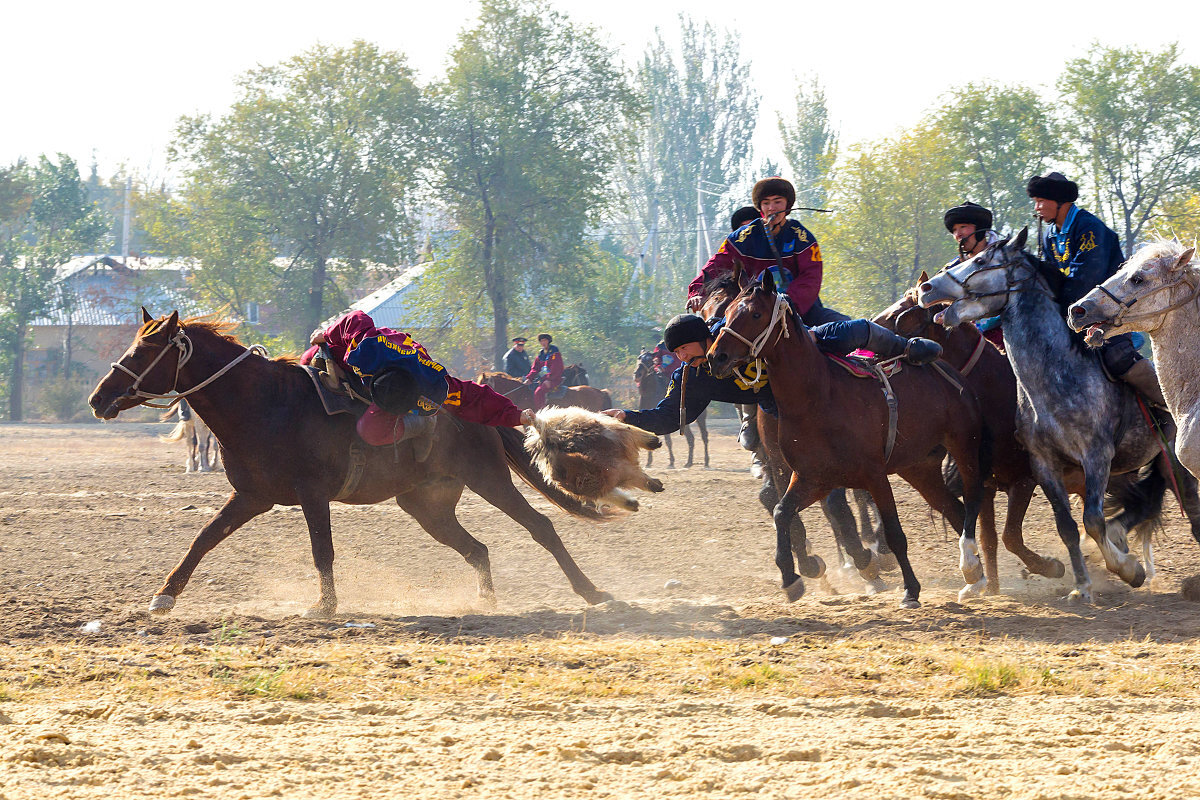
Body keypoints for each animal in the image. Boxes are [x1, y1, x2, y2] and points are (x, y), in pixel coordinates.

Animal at [705, 268, 988, 606]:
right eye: (726, 314)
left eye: (755, 314)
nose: (716, 357)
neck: (818, 398)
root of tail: (951, 374)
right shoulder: (812, 478)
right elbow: (781, 512)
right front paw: (791, 578)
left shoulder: (874, 476)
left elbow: (894, 533)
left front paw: (910, 589)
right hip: (919, 467)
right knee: (954, 509)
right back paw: (974, 577)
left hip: (965, 446)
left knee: (971, 502)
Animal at [878, 278, 1065, 592]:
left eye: (899, 315)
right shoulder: (985, 482)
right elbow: (990, 539)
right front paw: (991, 587)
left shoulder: (1025, 478)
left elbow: (1010, 536)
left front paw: (1051, 566)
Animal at [916, 227, 1200, 604]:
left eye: (980, 260)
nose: (926, 289)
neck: (1054, 379)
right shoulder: (1043, 465)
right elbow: (1066, 527)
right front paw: (1083, 585)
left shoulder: (1096, 457)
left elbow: (1091, 520)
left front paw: (1126, 569)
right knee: (1139, 505)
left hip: (1170, 461)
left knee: (1187, 508)